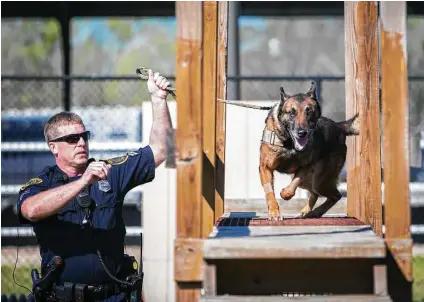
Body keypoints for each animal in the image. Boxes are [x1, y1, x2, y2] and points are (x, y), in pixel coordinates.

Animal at [256, 82, 360, 219]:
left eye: (309, 112)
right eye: (292, 113)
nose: (302, 133)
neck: (289, 143)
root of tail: (339, 126)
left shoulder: (306, 166)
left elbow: (292, 186)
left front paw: (285, 193)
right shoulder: (265, 167)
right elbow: (269, 192)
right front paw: (274, 212)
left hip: (320, 181)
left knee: (334, 195)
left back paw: (315, 212)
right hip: (312, 182)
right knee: (316, 193)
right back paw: (306, 211)